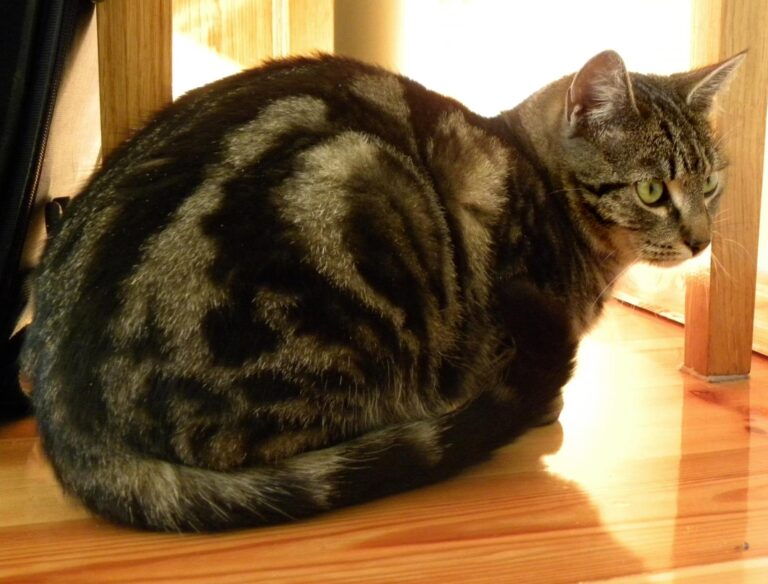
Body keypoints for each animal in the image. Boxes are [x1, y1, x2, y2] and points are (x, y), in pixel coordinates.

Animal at [24, 52, 744, 532]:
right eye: (651, 190)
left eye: (711, 185)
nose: (701, 241)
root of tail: (70, 423)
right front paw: (542, 406)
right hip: (358, 200)